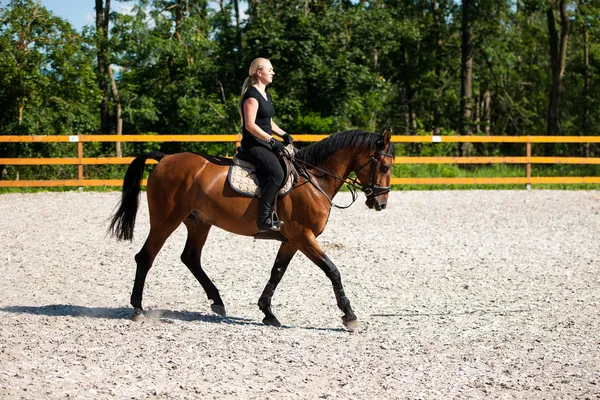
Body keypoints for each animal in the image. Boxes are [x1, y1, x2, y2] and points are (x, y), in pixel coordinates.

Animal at [109, 130, 394, 330]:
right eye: (384, 166)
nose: (380, 203)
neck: (314, 179)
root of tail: (165, 158)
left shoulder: (291, 240)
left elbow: (277, 273)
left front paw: (267, 313)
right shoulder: (304, 237)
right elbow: (332, 270)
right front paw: (349, 316)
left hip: (199, 223)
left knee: (190, 258)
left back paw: (217, 301)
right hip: (165, 220)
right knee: (145, 257)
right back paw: (138, 309)